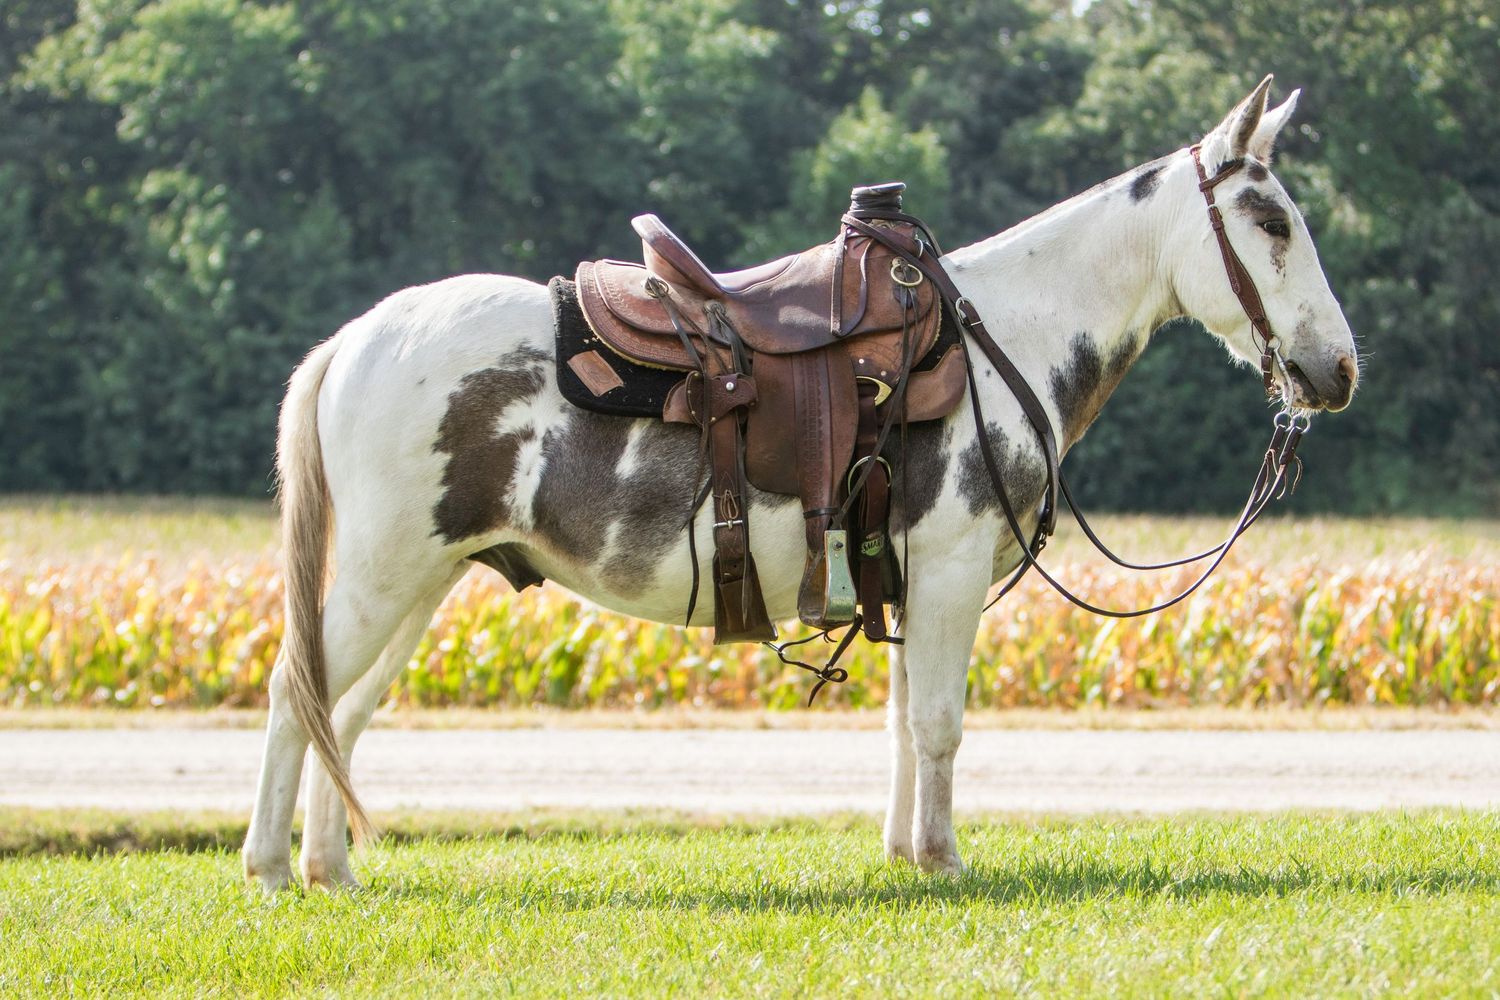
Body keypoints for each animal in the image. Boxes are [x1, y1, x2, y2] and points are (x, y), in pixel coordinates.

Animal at [242, 77, 1358, 890]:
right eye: (1269, 220)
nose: (1337, 370)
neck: (1003, 336)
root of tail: (357, 337)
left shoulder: (907, 575)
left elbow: (906, 724)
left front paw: (907, 855)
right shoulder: (951, 568)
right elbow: (941, 722)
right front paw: (946, 863)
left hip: (425, 583)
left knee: (343, 713)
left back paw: (330, 869)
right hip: (385, 575)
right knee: (298, 691)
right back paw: (268, 869)